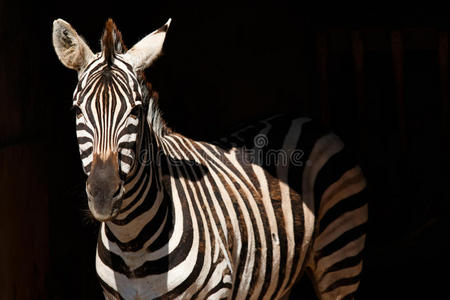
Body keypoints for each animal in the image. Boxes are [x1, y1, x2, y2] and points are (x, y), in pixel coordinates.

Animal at [53, 17, 370, 298]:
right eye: (77, 110)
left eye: (136, 110)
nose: (103, 194)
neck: (132, 243)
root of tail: (306, 119)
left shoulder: (217, 289)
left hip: (341, 254)